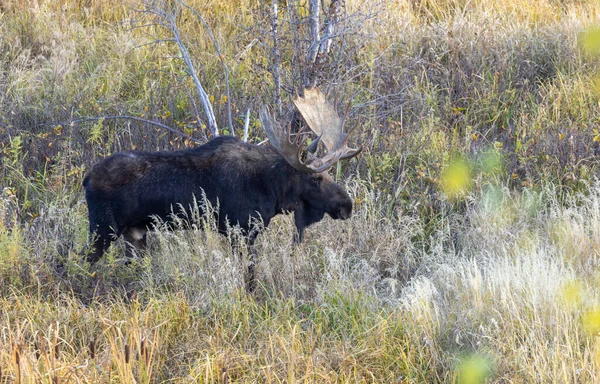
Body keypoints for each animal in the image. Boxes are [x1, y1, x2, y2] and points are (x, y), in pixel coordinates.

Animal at [80, 88, 360, 288]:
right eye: (315, 179)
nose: (347, 205)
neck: (273, 190)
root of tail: (86, 179)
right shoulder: (240, 231)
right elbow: (249, 276)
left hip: (135, 233)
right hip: (103, 229)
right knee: (79, 262)